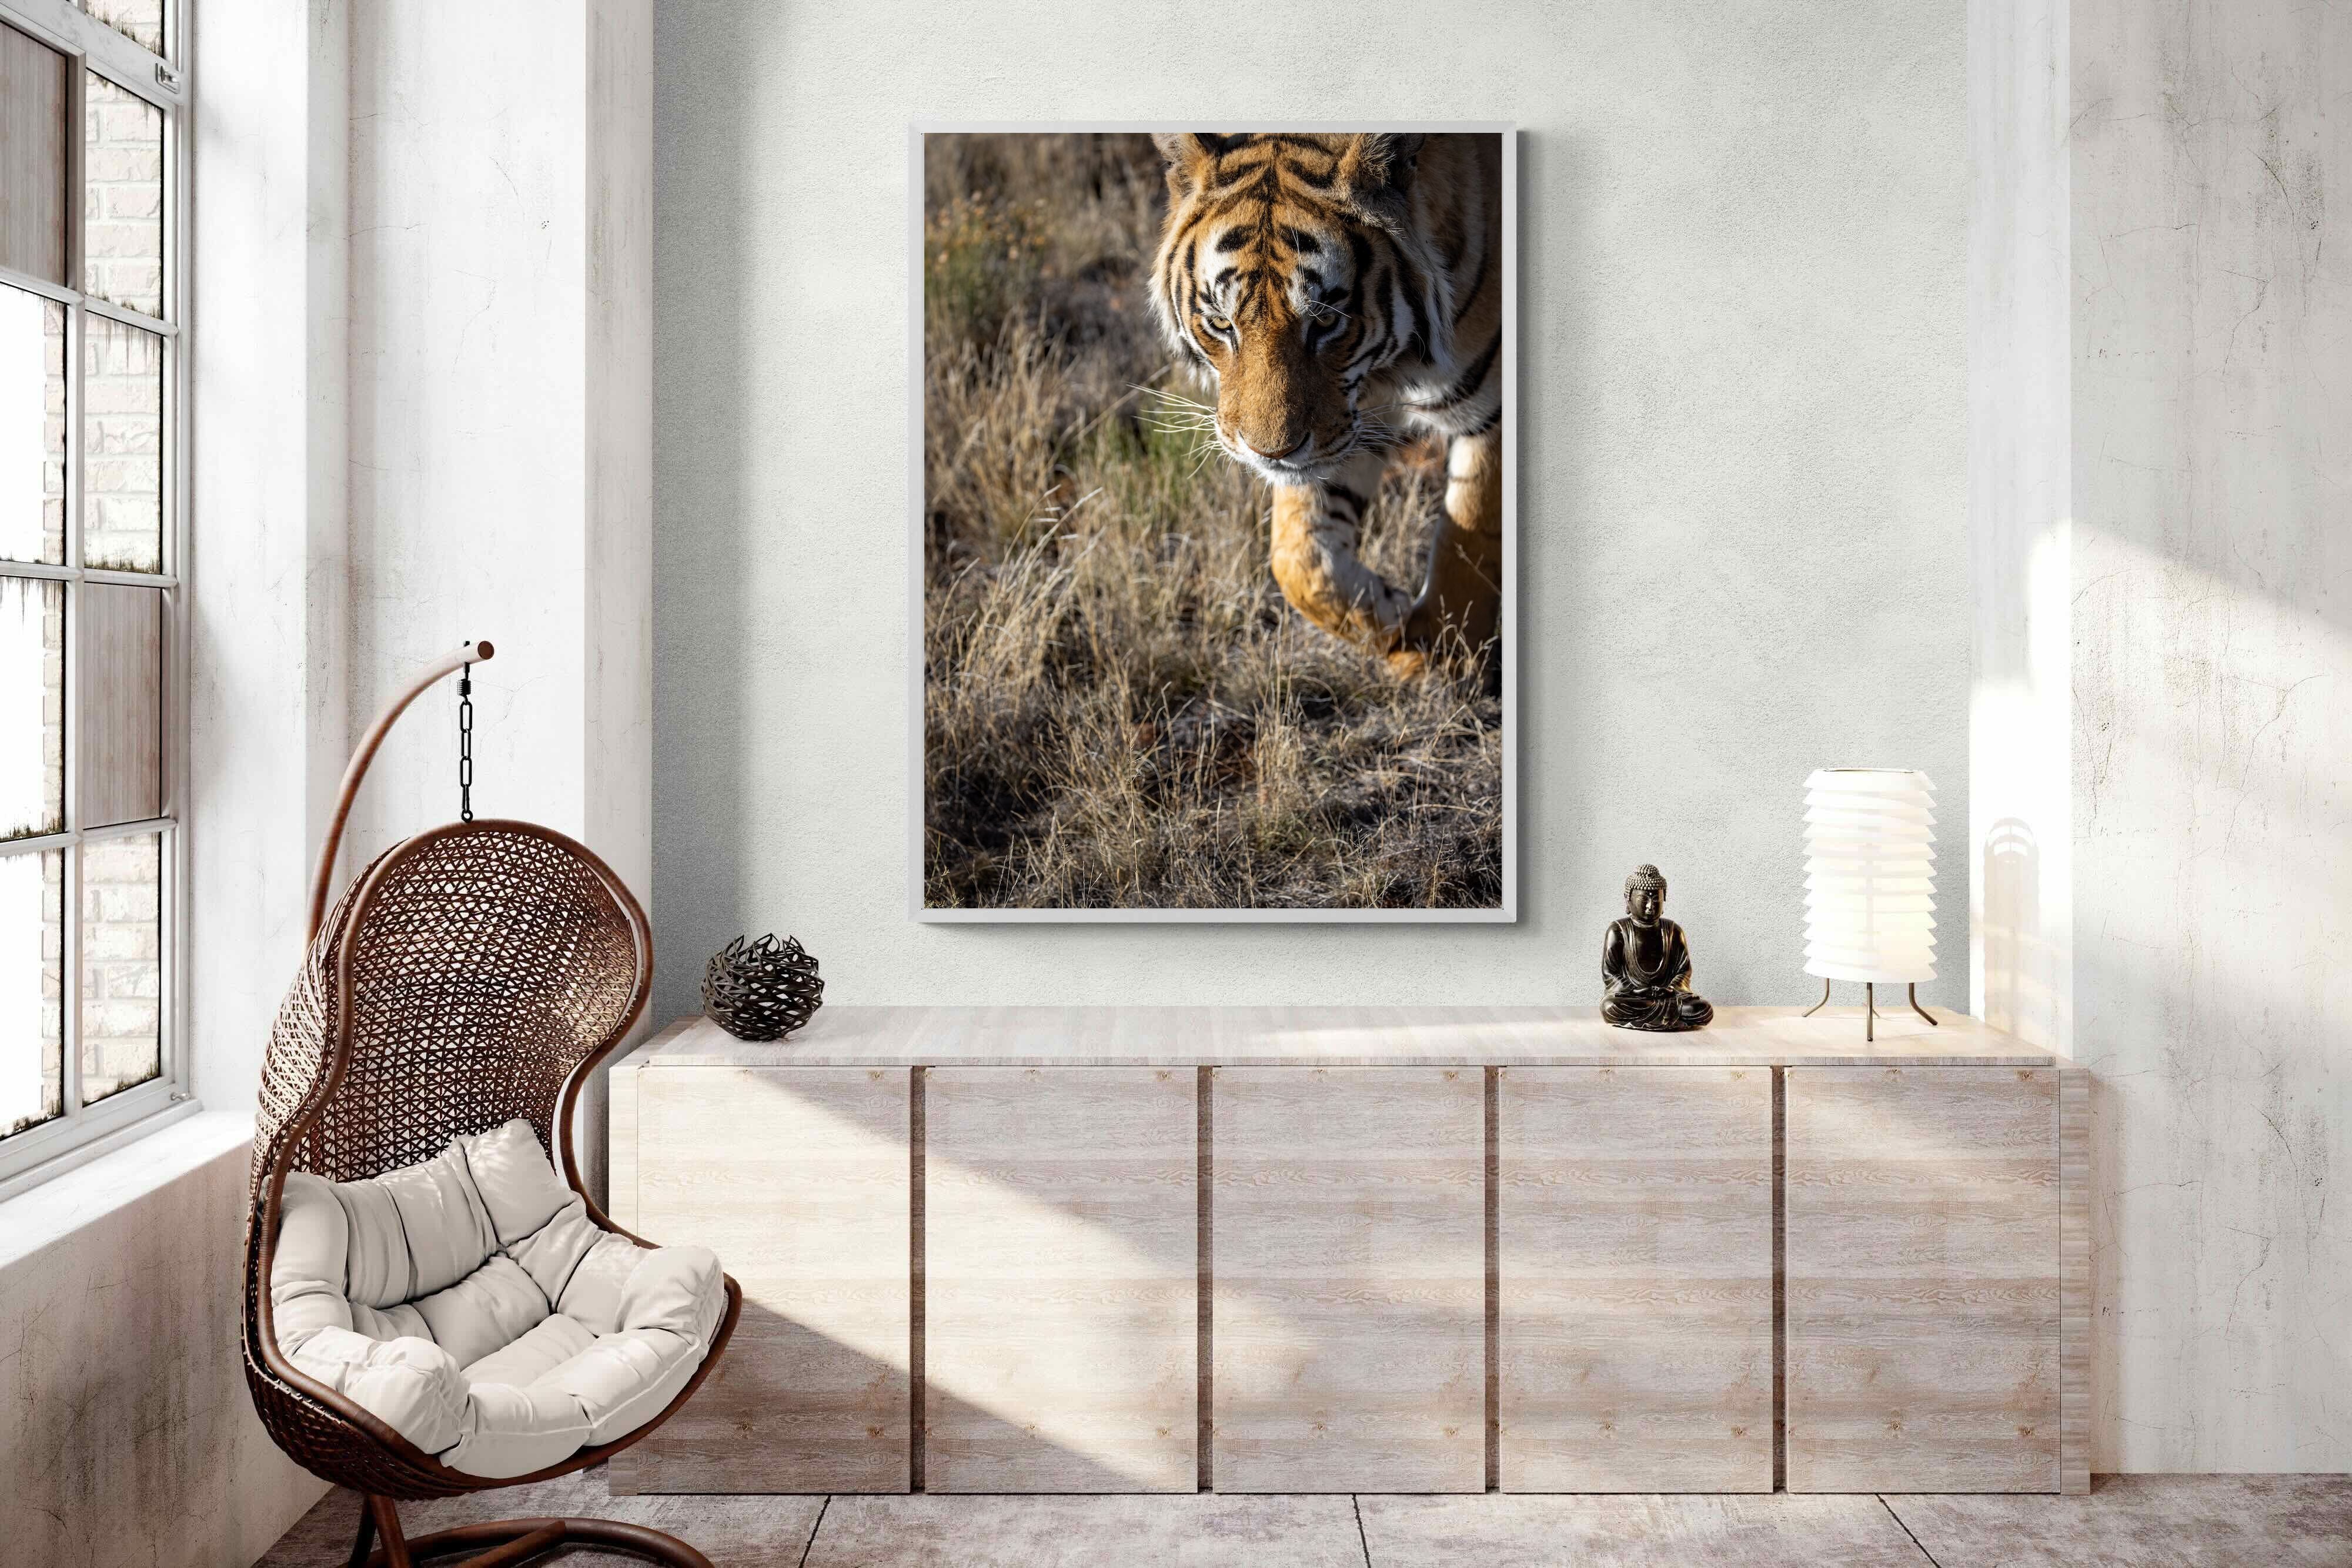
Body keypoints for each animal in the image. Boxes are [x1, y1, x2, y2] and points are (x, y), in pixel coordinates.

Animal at [1148, 131, 1504, 677]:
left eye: (1327, 321)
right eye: (1222, 324)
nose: (1269, 454)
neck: (1392, 368)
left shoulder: (1492, 411)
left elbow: (1469, 538)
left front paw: (1444, 655)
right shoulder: (1346, 425)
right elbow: (1298, 559)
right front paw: (1392, 616)